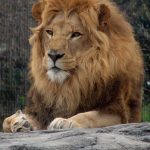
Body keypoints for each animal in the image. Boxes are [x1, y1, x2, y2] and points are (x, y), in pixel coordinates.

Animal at [2, 0, 144, 132]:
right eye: (50, 32)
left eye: (76, 34)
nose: (53, 55)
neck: (69, 84)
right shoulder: (40, 112)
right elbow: (5, 121)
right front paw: (19, 122)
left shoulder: (118, 112)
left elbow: (89, 115)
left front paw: (65, 121)